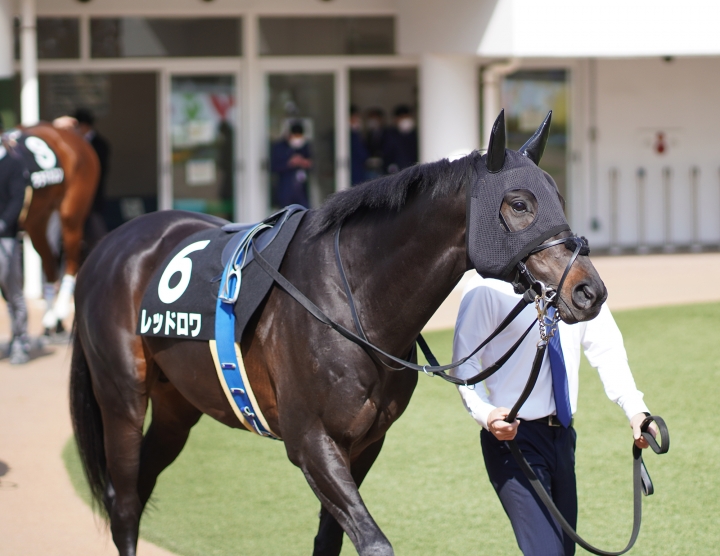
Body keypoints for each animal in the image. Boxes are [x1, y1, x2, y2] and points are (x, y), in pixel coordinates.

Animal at [69, 114, 608, 556]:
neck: (351, 302)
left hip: (177, 408)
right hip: (122, 398)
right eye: (519, 203)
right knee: (124, 506)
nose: (590, 290)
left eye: (558, 198)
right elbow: (374, 543)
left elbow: (329, 540)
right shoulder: (311, 441)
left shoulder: (365, 443)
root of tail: (107, 248)